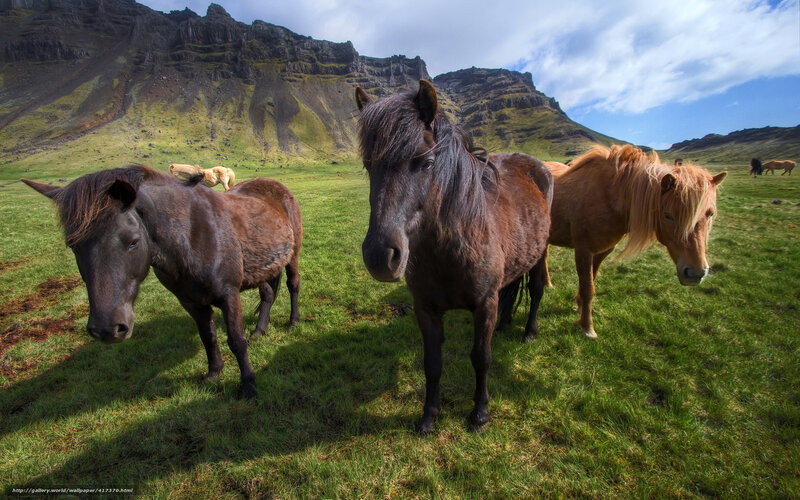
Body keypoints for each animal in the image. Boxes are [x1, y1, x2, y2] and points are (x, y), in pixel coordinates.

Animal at [21, 165, 302, 398]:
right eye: (73, 245)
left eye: (133, 241)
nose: (106, 329)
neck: (191, 235)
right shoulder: (191, 302)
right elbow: (208, 336)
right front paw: (213, 373)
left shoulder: (228, 295)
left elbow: (236, 341)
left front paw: (248, 386)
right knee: (267, 294)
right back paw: (260, 330)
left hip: (292, 256)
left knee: (292, 285)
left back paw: (292, 322)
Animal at [355, 80, 552, 433]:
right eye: (368, 165)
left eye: (426, 162)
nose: (380, 256)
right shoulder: (426, 309)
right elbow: (432, 363)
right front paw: (428, 416)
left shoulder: (484, 304)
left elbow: (481, 357)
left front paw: (480, 413)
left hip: (540, 253)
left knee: (536, 289)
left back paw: (529, 332)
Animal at [539, 145, 726, 338]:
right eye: (668, 215)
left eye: (710, 213)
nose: (695, 273)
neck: (609, 195)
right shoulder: (583, 250)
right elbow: (588, 288)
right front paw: (587, 328)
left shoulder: (602, 251)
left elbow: (591, 281)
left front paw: (579, 306)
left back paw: (547, 283)